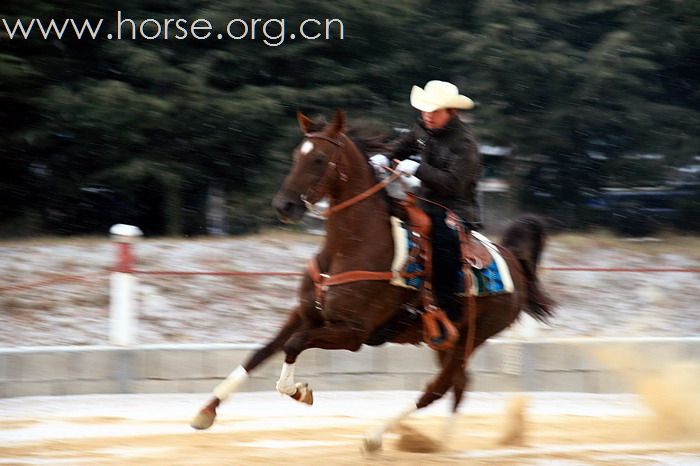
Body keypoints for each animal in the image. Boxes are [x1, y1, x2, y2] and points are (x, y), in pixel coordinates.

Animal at [190, 109, 552, 452]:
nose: (284, 206)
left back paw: (377, 438)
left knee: (438, 387)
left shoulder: (353, 333)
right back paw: (438, 442)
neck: (349, 247)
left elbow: (294, 345)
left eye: (319, 158)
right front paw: (206, 411)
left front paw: (299, 391)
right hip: (447, 341)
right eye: (296, 154)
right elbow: (259, 353)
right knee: (460, 384)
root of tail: (513, 262)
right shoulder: (304, 314)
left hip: (470, 338)